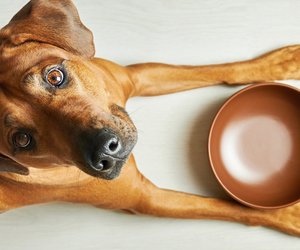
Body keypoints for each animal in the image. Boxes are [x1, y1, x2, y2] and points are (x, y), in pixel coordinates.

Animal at [0, 0, 298, 236]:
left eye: (54, 77)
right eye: (22, 140)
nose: (104, 152)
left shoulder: (135, 76)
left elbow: (215, 70)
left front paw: (277, 64)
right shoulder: (147, 199)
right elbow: (226, 207)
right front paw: (284, 214)